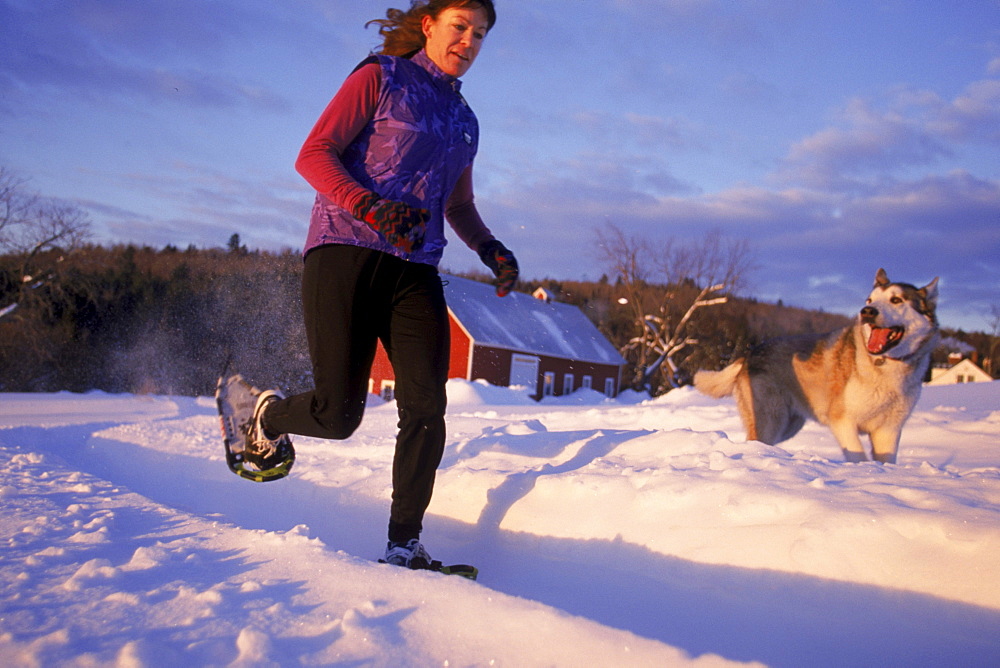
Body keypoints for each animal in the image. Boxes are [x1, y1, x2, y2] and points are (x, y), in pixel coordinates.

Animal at [696, 268, 936, 462]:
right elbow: (858, 457)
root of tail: (749, 353)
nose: (867, 312)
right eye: (870, 300)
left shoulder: (888, 430)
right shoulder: (843, 422)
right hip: (772, 420)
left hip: (790, 425)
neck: (886, 367)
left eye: (896, 300)